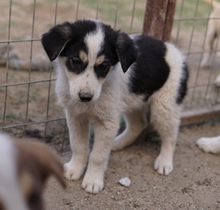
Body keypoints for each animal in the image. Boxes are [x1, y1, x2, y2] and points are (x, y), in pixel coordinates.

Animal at [41, 19, 189, 194]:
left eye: (103, 66)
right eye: (75, 61)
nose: (85, 97)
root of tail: (176, 51)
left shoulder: (107, 122)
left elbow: (98, 156)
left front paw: (93, 180)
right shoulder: (75, 116)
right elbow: (78, 146)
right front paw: (75, 169)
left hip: (165, 105)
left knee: (171, 135)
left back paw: (165, 162)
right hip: (133, 101)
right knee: (139, 124)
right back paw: (118, 143)